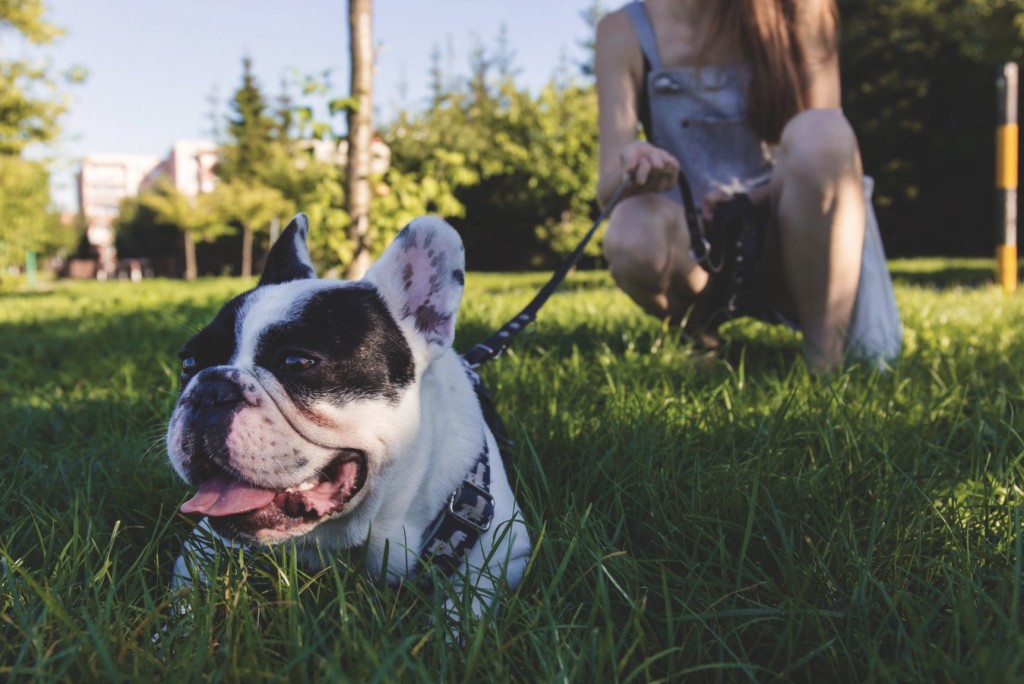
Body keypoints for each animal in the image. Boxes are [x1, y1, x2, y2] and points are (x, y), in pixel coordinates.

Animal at [164, 214, 532, 614]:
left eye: (296, 362)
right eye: (188, 363)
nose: (209, 390)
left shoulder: (504, 554)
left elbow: (465, 605)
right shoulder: (202, 544)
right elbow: (182, 597)